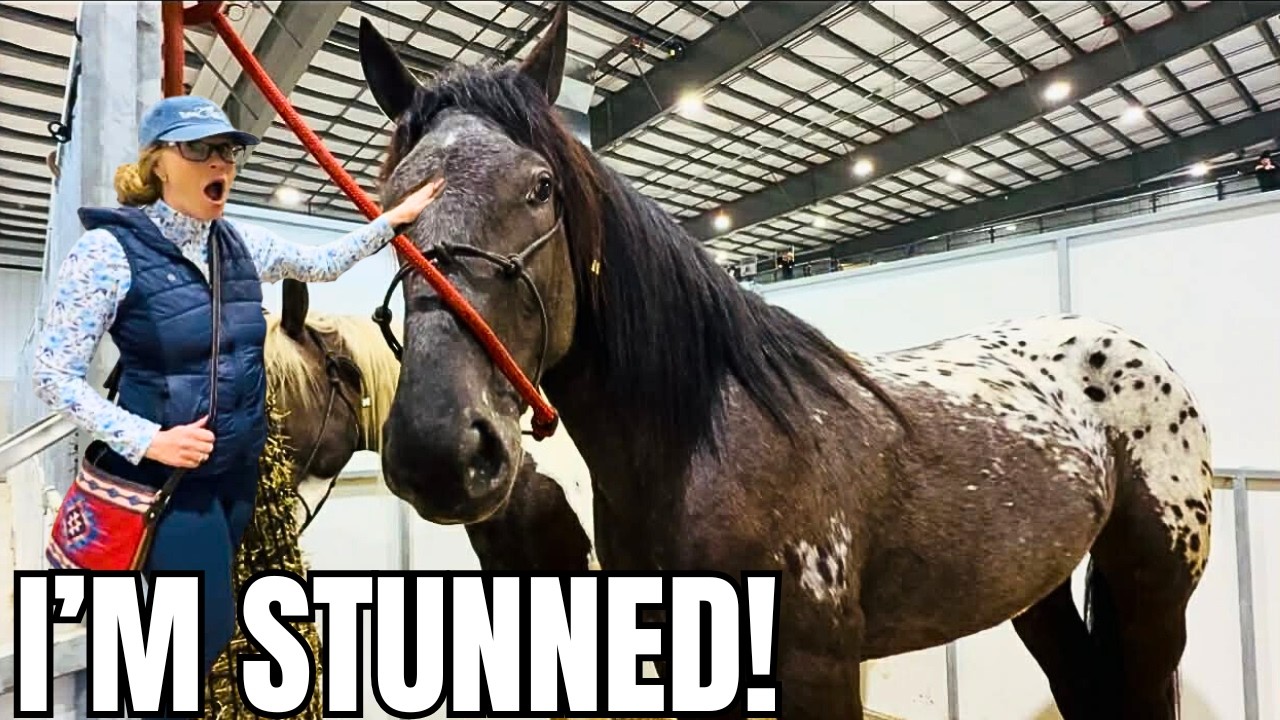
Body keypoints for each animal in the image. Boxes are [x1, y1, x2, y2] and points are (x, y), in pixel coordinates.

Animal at [357, 5, 1213, 718]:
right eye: (386, 207)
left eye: (539, 187)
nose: (438, 449)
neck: (709, 440)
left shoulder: (814, 670)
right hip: (1034, 590)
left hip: (1156, 597)